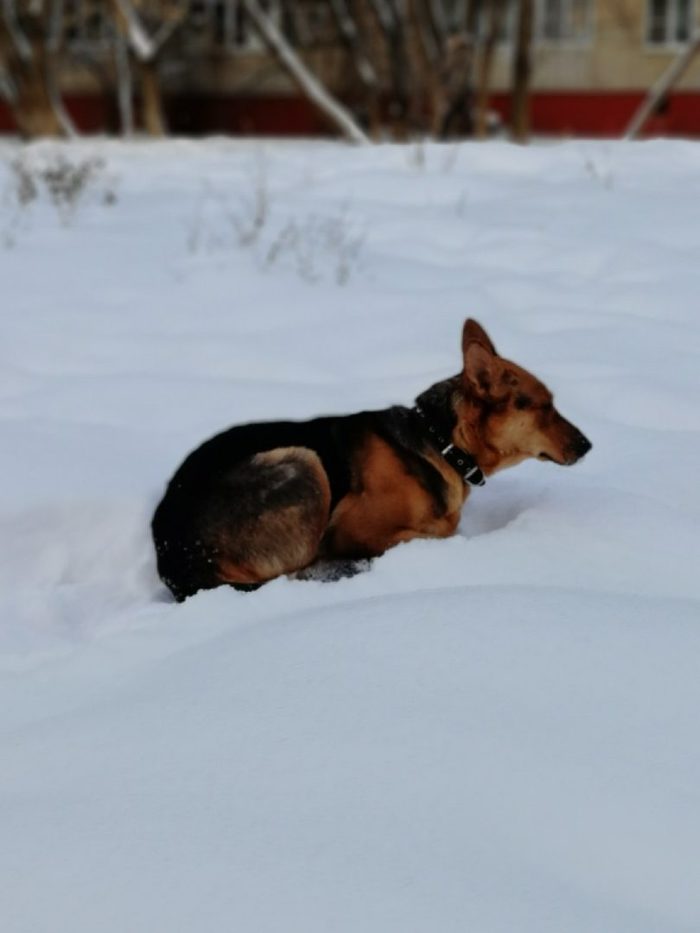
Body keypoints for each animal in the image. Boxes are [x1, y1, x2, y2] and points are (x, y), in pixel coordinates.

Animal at [152, 316, 592, 600]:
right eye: (543, 407)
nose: (588, 445)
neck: (440, 442)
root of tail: (174, 552)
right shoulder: (352, 531)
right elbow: (441, 530)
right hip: (302, 463)